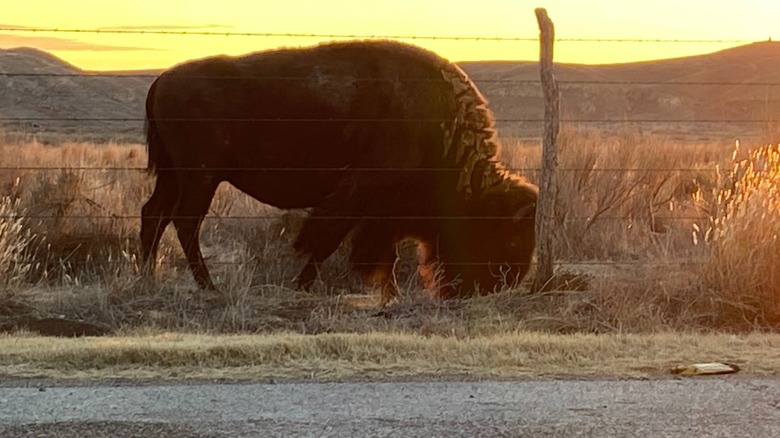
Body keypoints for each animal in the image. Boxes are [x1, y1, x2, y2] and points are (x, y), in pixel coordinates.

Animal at [141, 40, 538, 300]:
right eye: (510, 237)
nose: (499, 284)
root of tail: (161, 80)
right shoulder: (360, 195)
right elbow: (329, 241)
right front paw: (303, 287)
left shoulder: (383, 210)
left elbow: (383, 252)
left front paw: (389, 295)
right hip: (200, 176)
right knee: (185, 221)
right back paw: (208, 286)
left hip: (175, 175)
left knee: (154, 214)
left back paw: (147, 276)